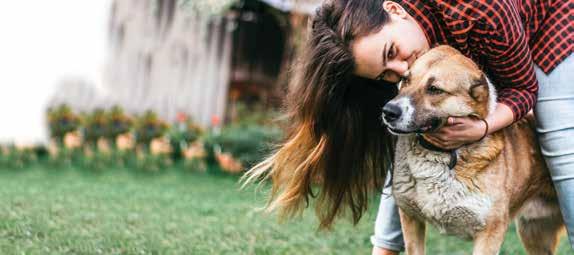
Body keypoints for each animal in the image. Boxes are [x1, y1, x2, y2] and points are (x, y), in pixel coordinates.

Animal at [382, 46, 568, 255]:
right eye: (406, 79)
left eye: (435, 89)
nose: (388, 111)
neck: (445, 154)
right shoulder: (411, 219)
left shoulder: (490, 233)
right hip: (534, 235)